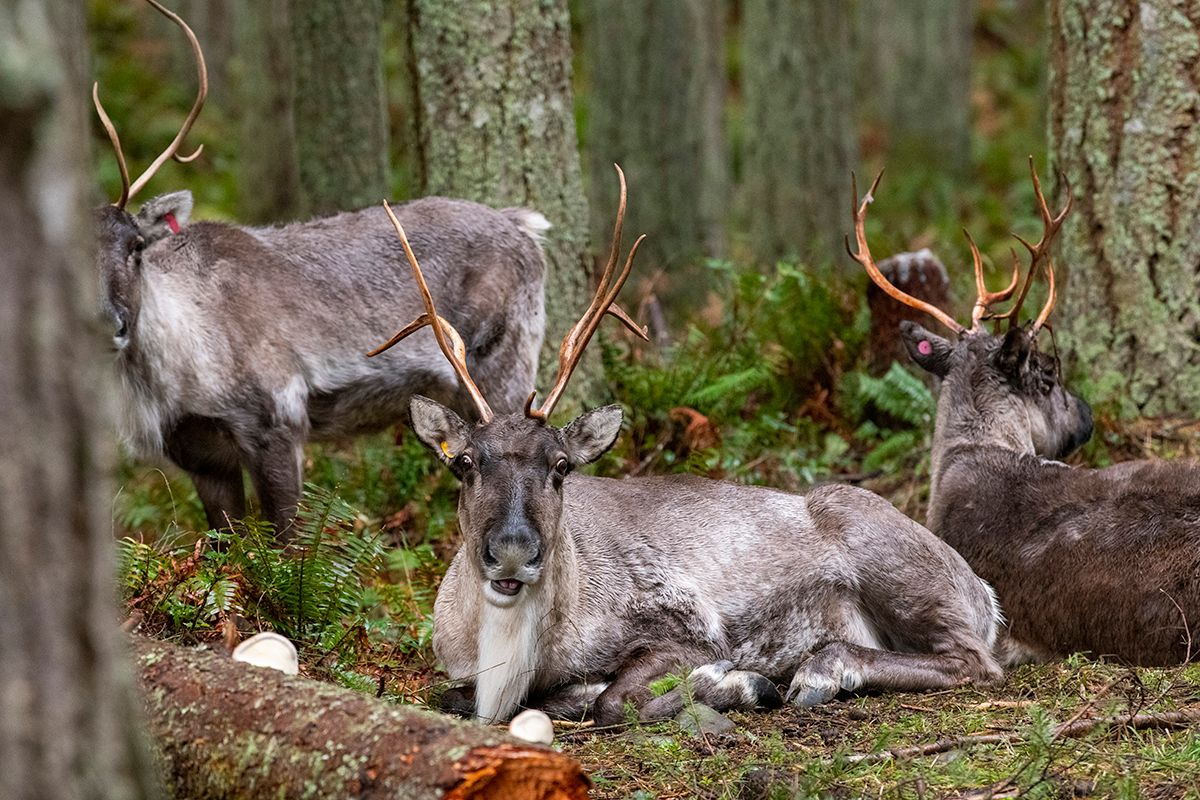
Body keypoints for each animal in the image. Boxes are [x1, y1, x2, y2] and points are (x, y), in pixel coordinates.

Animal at [93, 0, 549, 538]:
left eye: (136, 246)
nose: (110, 324)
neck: (170, 382)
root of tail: (525, 226)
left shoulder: (277, 417)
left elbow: (287, 542)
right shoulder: (200, 455)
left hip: (505, 366)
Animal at [373, 164, 1005, 726]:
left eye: (560, 466)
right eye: (463, 463)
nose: (511, 549)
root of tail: (984, 593)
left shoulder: (686, 623)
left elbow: (615, 699)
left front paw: (736, 682)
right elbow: (456, 696)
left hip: (887, 551)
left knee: (976, 661)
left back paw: (820, 670)